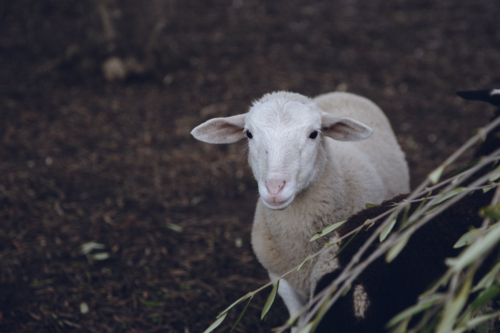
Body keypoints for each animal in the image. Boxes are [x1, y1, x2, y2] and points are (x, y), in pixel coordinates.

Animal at [191, 91, 410, 324]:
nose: (274, 188)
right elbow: (299, 319)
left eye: (314, 134)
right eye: (249, 134)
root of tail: (343, 93)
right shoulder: (280, 278)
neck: (300, 245)